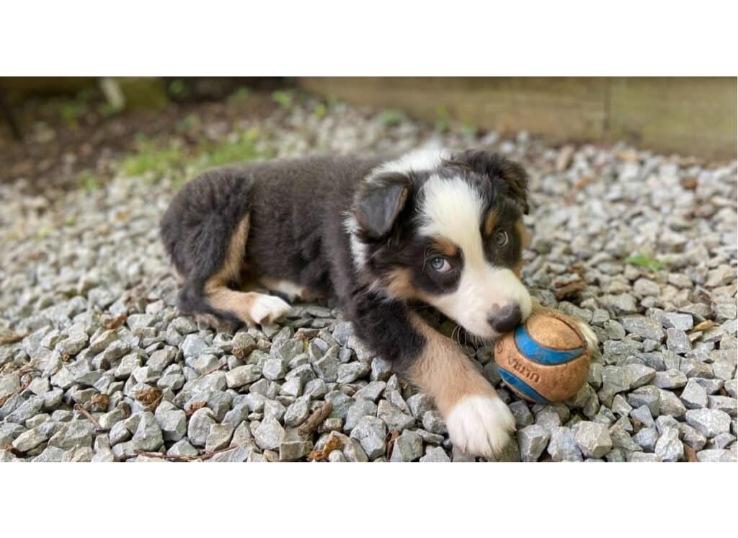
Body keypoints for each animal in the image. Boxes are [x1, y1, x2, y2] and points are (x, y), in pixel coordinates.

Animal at [161, 149, 600, 458]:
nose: (508, 320)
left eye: (503, 238)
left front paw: (563, 320)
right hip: (222, 210)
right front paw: (478, 410)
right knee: (192, 291)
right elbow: (433, 346)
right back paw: (257, 305)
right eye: (439, 264)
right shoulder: (367, 300)